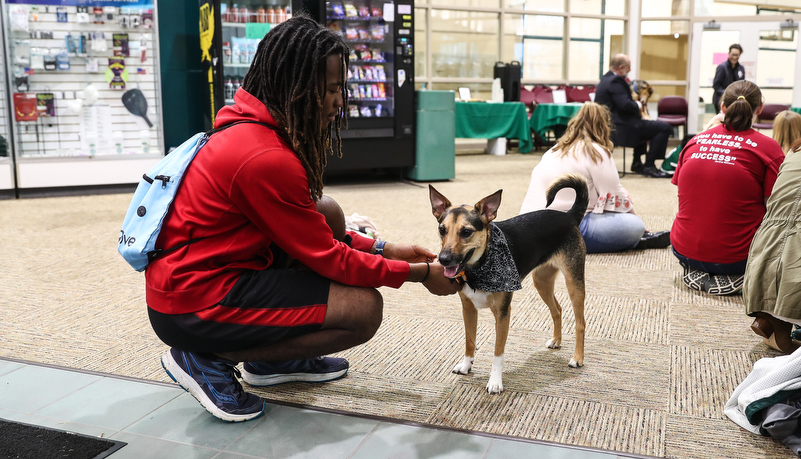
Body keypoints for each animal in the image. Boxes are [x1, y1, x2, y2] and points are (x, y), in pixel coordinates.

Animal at [432, 174, 588, 394]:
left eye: (466, 232)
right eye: (442, 230)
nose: (443, 259)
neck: (480, 267)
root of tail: (569, 216)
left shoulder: (503, 314)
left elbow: (498, 353)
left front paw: (495, 382)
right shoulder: (468, 308)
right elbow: (470, 341)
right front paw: (466, 365)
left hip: (574, 282)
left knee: (580, 322)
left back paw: (577, 358)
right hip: (542, 281)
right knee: (557, 309)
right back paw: (556, 340)